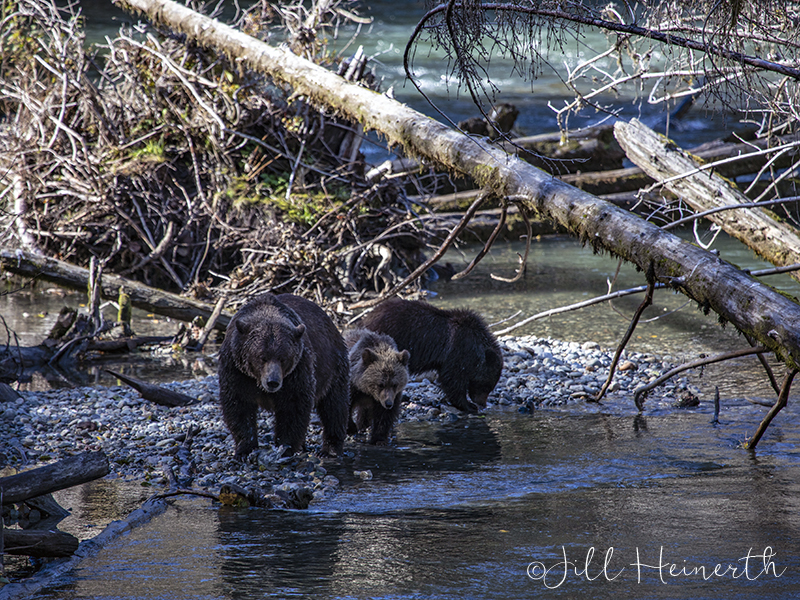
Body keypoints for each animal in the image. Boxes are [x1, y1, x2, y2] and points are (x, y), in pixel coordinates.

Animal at [217, 294, 348, 460]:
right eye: (262, 357)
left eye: (283, 358)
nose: (272, 382)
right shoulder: (236, 370)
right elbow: (238, 406)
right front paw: (244, 449)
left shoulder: (297, 371)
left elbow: (293, 406)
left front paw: (285, 447)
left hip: (333, 366)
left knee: (335, 406)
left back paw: (330, 450)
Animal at [360, 298, 504, 412]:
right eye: (487, 385)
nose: (482, 403)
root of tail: (365, 320)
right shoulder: (458, 350)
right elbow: (452, 379)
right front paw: (468, 405)